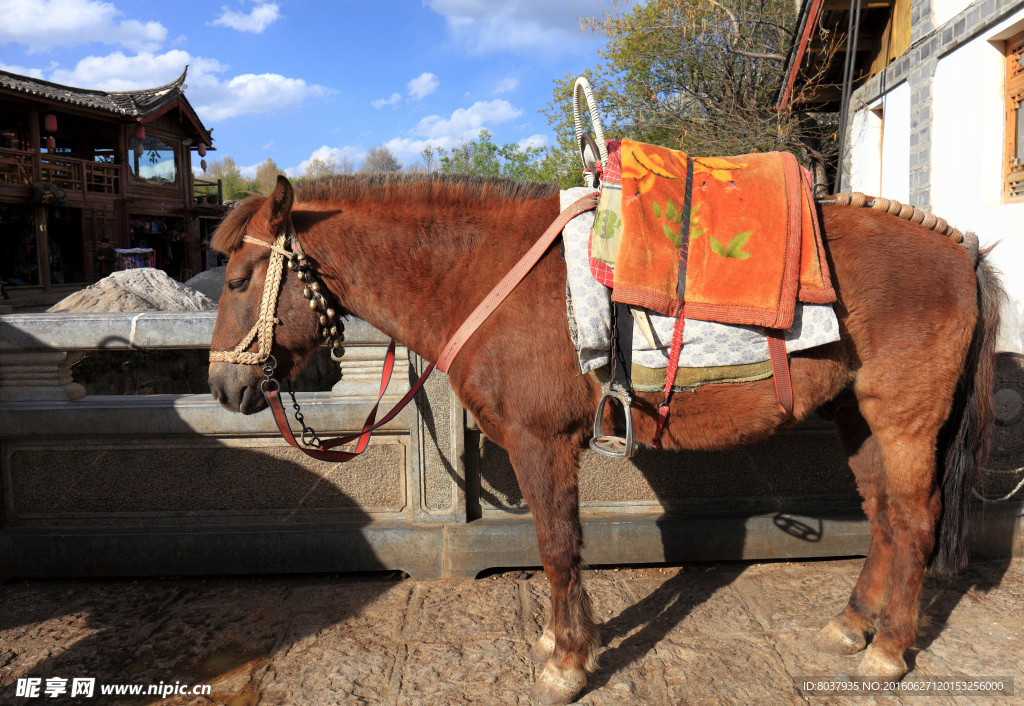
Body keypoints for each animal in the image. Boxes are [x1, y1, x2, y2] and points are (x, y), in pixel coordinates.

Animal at [207, 173, 999, 700]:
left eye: (240, 278)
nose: (221, 387)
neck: (488, 275)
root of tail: (961, 250)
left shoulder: (541, 441)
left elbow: (558, 546)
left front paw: (566, 662)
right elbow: (565, 546)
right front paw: (571, 639)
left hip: (905, 419)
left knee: (915, 522)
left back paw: (889, 650)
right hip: (856, 415)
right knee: (884, 519)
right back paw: (853, 624)